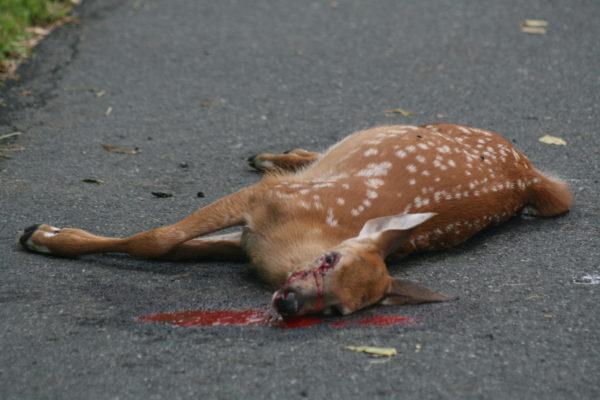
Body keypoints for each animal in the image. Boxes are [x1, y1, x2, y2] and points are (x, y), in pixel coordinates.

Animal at [19, 123, 572, 318]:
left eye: (337, 312)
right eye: (328, 260)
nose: (290, 303)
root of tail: (529, 176)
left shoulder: (248, 234)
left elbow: (171, 248)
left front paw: (45, 236)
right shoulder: (261, 201)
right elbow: (156, 240)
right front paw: (42, 235)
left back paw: (273, 154)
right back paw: (270, 155)